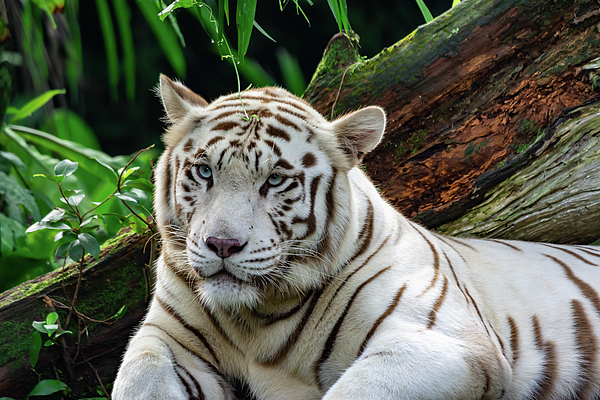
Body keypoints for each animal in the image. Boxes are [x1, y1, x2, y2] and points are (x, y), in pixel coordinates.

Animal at [112, 75, 600, 400]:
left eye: (275, 180)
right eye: (204, 172)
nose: (222, 246)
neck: (256, 321)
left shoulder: (445, 341)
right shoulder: (163, 336)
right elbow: (139, 378)